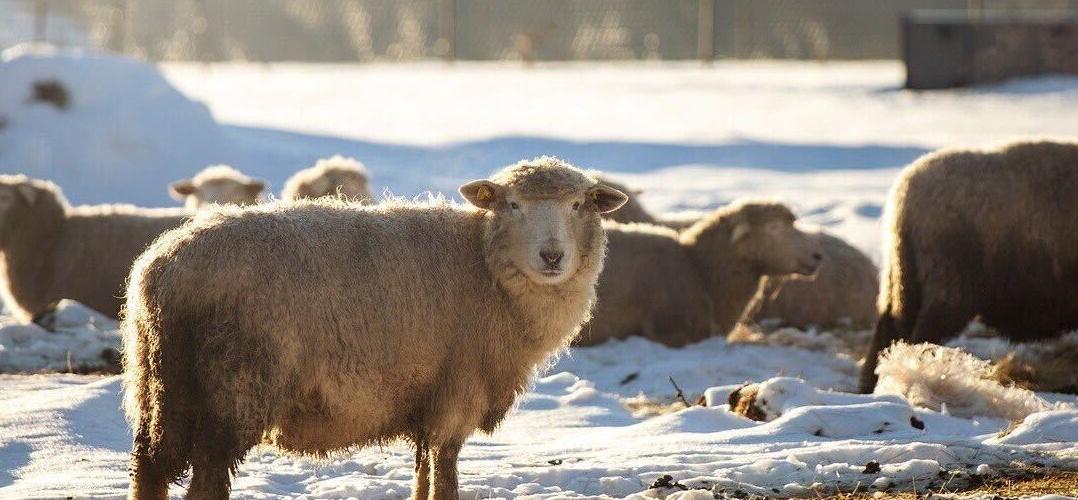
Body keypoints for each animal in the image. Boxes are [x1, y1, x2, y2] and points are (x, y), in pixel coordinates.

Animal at [121, 157, 627, 500]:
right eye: (514, 204)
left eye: (578, 204)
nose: (552, 256)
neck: (485, 264)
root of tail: (166, 267)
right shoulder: (456, 391)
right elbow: (444, 472)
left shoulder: (429, 400)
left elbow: (424, 473)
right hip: (235, 384)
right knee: (206, 476)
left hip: (159, 382)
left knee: (150, 466)